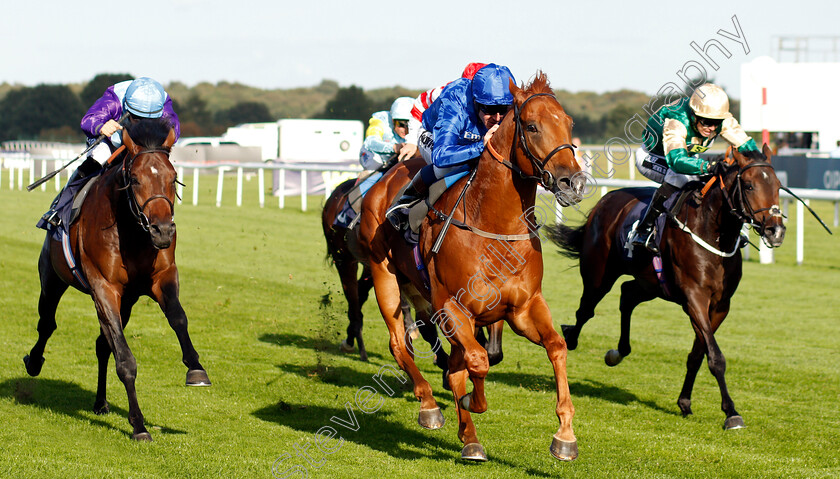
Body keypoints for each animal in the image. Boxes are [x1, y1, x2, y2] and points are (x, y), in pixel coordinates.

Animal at [23, 119, 210, 442]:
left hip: (128, 301)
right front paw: (138, 425)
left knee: (102, 345)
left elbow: (178, 317)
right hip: (52, 278)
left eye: (174, 177)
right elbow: (124, 359)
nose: (163, 231)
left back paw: (100, 402)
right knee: (47, 323)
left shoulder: (161, 277)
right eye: (134, 179)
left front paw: (196, 368)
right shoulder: (104, 287)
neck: (132, 233)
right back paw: (34, 362)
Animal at [358, 73, 588, 464]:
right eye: (532, 126)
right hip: (384, 275)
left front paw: (565, 436)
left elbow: (556, 346)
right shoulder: (453, 307)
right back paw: (429, 406)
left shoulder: (524, 307)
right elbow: (477, 362)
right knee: (399, 344)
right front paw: (467, 403)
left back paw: (468, 437)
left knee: (449, 365)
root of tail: (387, 175)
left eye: (569, 124)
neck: (495, 226)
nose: (573, 183)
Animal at [548, 145, 784, 432]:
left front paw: (685, 402)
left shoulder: (720, 305)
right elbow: (716, 358)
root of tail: (605, 201)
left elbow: (699, 354)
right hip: (598, 275)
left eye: (778, 186)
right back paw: (570, 337)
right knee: (586, 310)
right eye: (749, 185)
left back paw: (618, 352)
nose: (776, 231)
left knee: (627, 294)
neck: (712, 232)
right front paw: (731, 413)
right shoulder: (694, 298)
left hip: (651, 283)